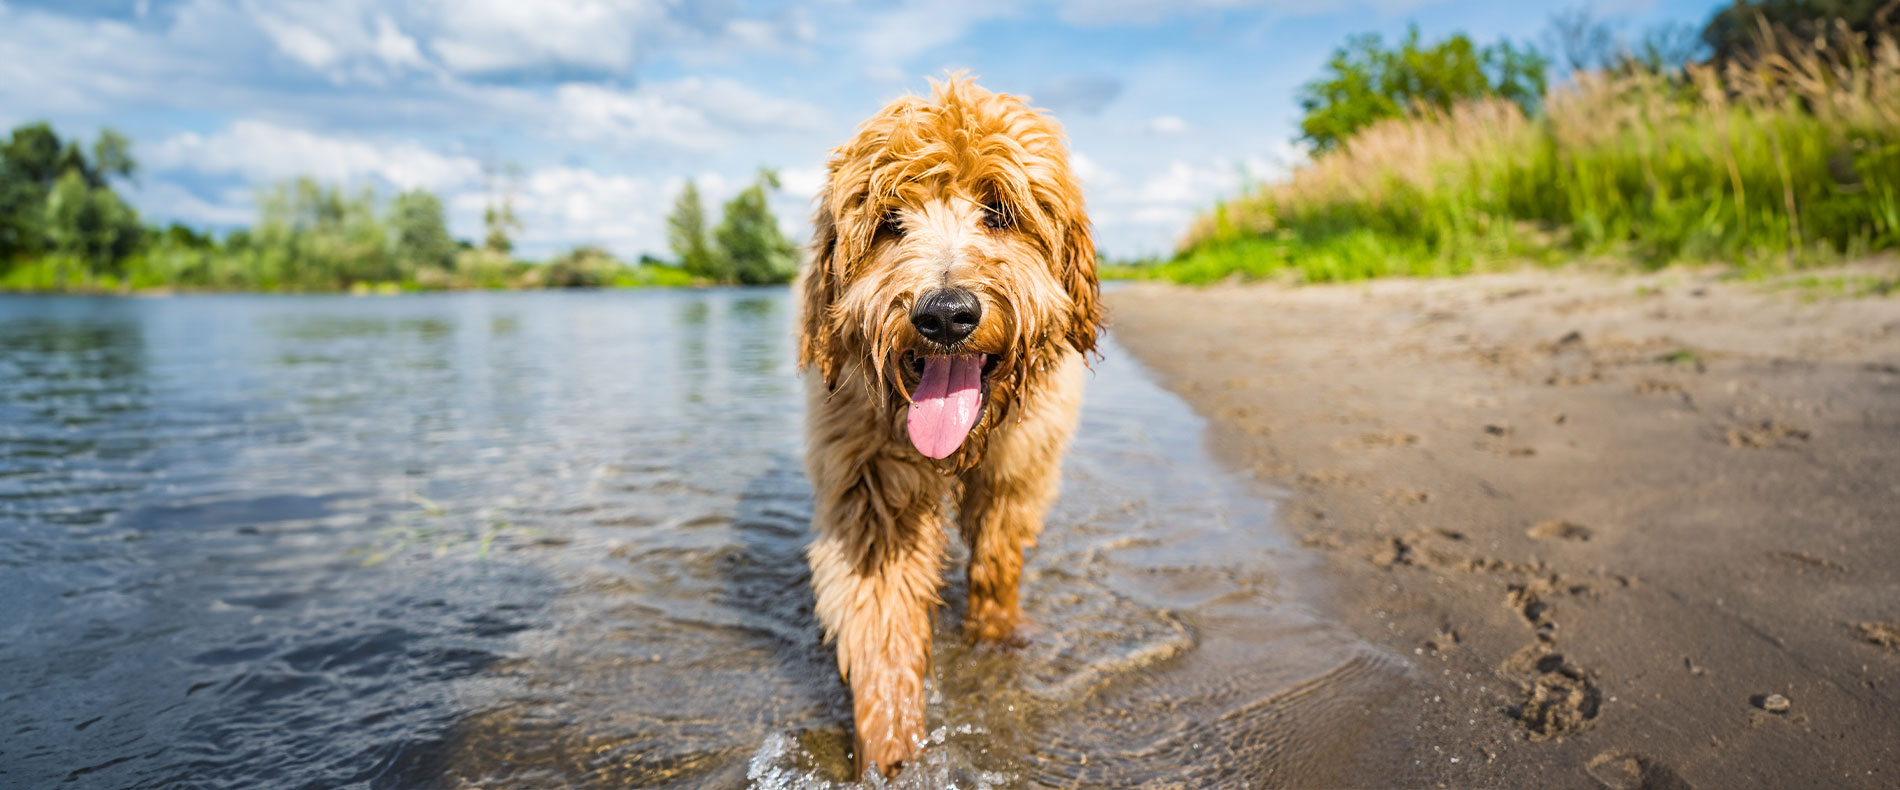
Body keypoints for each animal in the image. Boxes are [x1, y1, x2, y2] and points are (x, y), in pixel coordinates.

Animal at [798, 74, 1102, 778]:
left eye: (1001, 210)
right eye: (889, 223)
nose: (944, 314)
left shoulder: (1020, 469)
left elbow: (995, 558)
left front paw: (995, 636)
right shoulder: (869, 494)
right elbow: (881, 629)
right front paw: (890, 753)